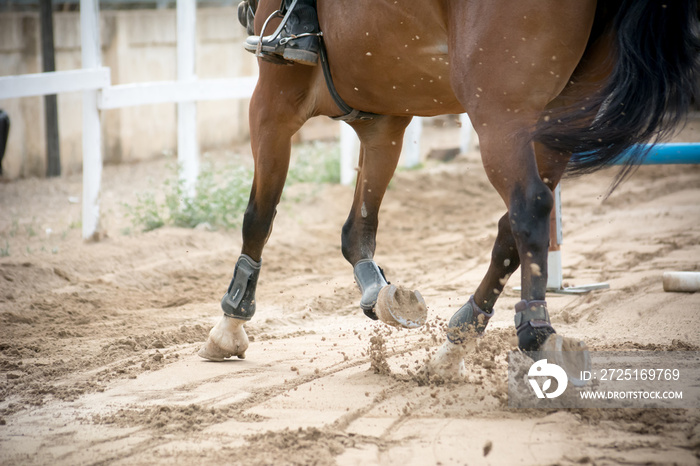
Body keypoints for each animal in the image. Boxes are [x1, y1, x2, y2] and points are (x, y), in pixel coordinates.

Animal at [198, 0, 700, 376]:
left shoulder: (274, 101)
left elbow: (258, 216)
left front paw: (230, 325)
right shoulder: (385, 120)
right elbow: (358, 230)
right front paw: (380, 294)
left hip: (500, 110)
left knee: (529, 208)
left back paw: (536, 332)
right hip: (559, 116)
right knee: (511, 226)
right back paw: (459, 338)